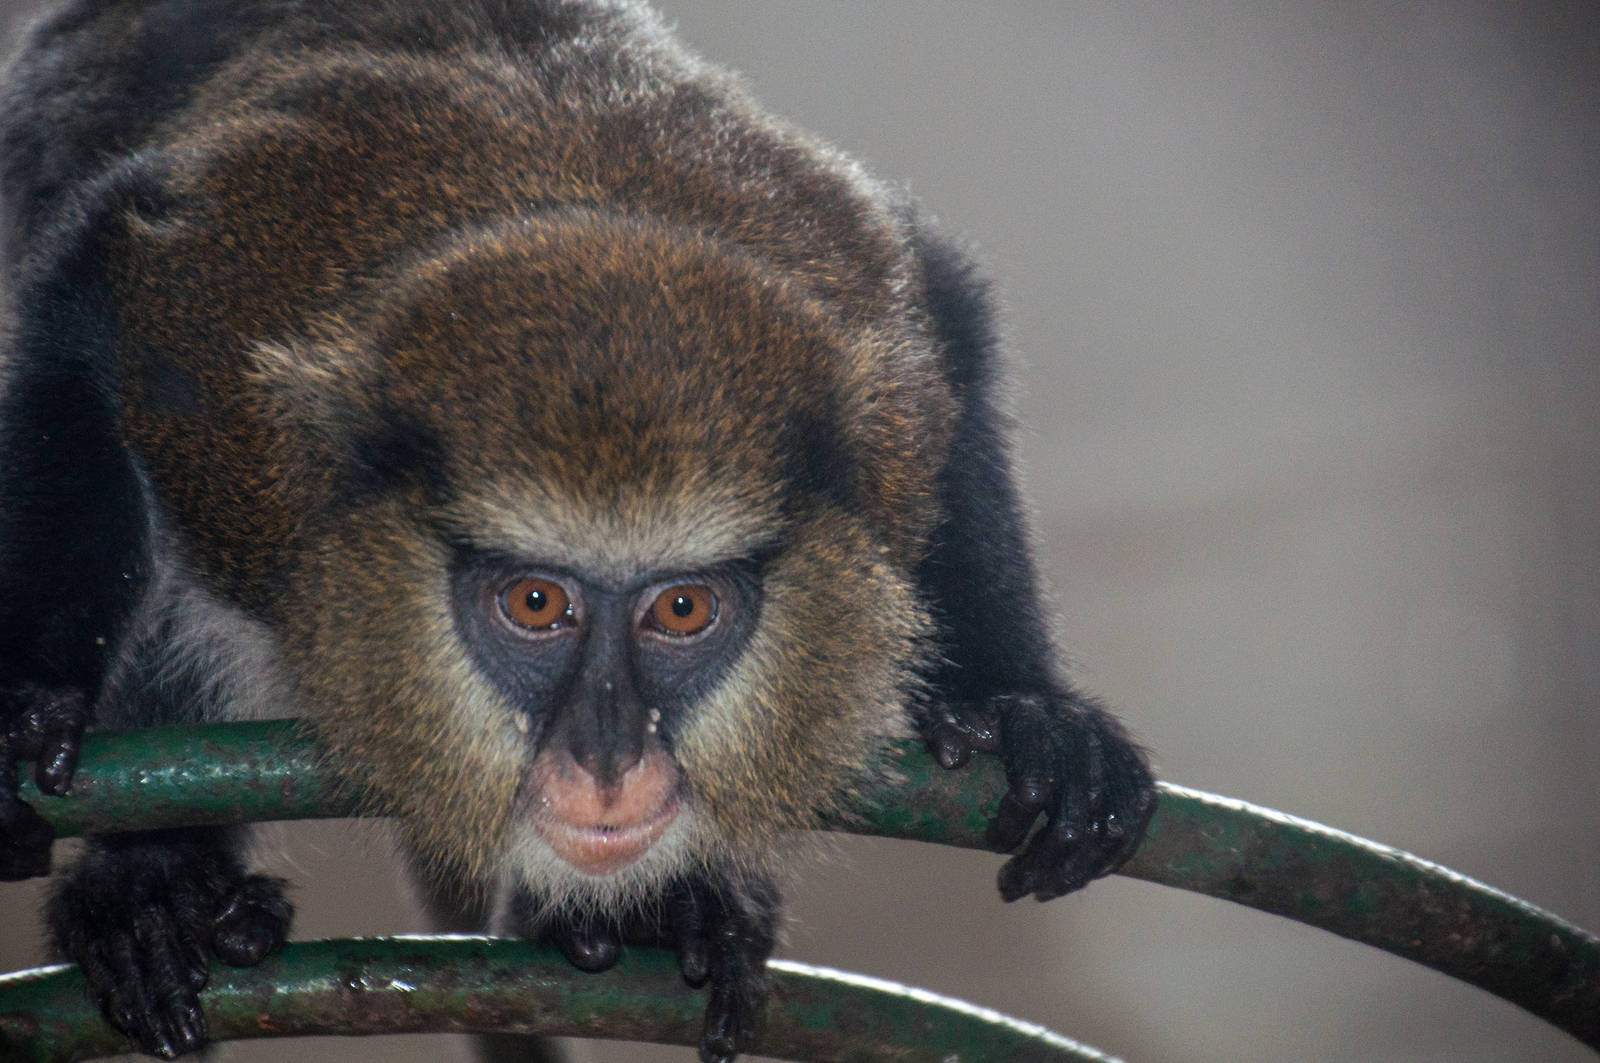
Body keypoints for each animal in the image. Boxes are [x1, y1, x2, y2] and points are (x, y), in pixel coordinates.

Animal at [0, 2, 1157, 1061]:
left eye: (681, 608)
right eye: (536, 602)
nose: (606, 758)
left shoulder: (890, 390)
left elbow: (951, 316)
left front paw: (1021, 711)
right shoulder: (213, 386)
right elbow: (87, 305)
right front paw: (35, 710)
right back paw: (158, 887)